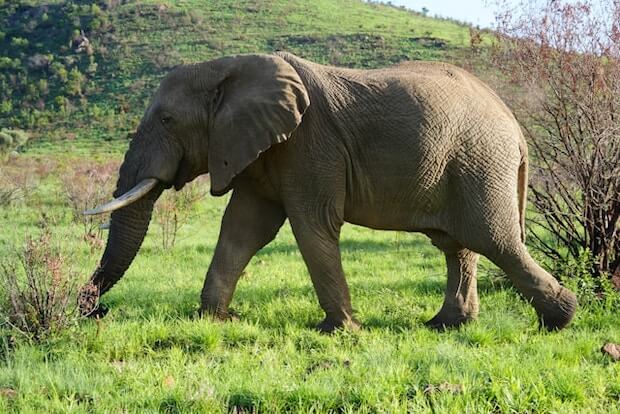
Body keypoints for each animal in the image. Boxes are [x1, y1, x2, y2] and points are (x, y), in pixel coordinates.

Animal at [81, 52, 576, 334]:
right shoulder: (264, 149)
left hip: (479, 161)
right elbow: (243, 229)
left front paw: (342, 331)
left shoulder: (309, 143)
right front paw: (215, 321)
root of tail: (515, 126)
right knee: (457, 244)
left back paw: (561, 319)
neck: (228, 68)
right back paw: (447, 326)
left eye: (166, 120)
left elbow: (311, 224)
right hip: (462, 165)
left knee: (494, 239)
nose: (95, 312)